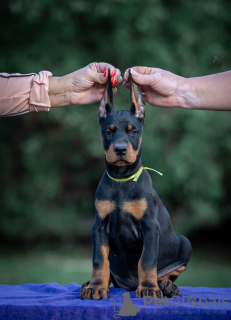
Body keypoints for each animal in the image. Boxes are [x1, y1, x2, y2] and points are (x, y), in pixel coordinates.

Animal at [79, 70, 191, 300]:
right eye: (108, 132)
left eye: (133, 132)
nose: (120, 150)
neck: (122, 180)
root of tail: (128, 285)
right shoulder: (99, 226)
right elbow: (99, 260)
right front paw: (96, 286)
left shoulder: (150, 226)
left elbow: (147, 261)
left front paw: (148, 288)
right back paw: (90, 284)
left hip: (184, 243)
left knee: (169, 271)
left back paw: (166, 285)